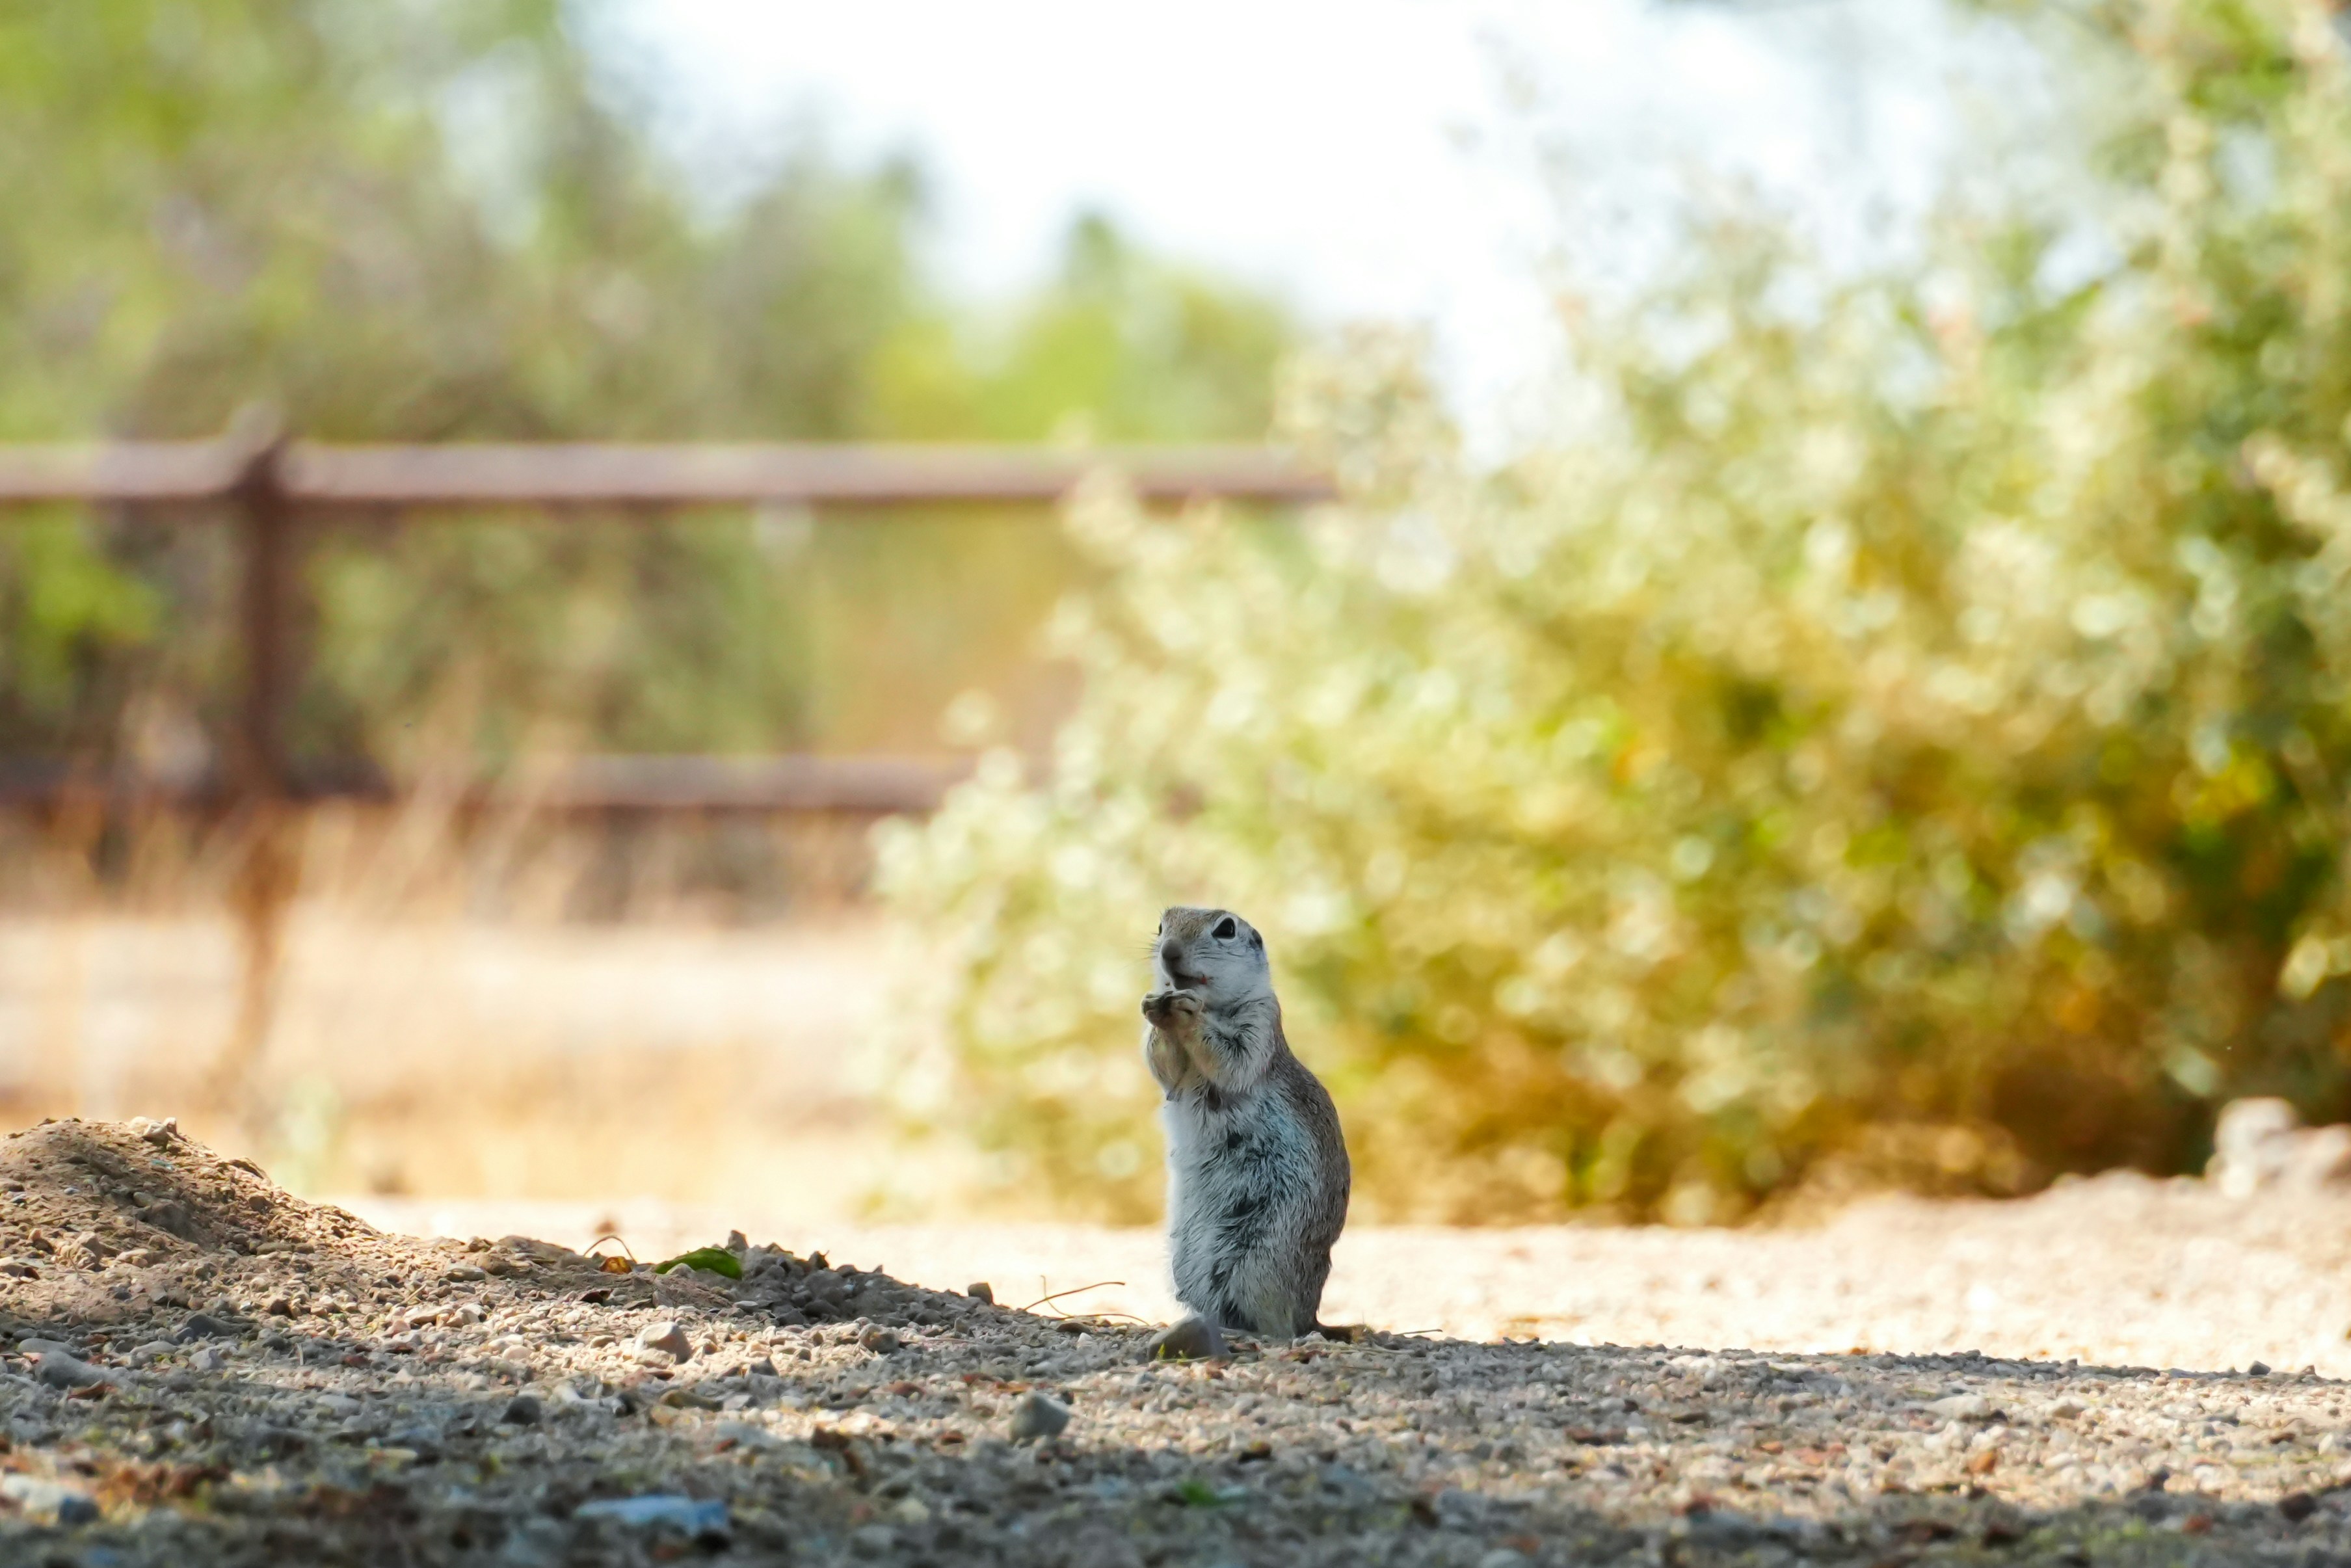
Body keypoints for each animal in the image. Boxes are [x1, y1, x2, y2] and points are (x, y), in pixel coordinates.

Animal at [1140, 906, 1350, 1352]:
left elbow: (1232, 1060)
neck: (1216, 1004)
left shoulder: (1262, 1021)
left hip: (1257, 1258)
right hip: (1190, 1264)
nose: (1168, 951)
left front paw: (1187, 1013)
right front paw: (1154, 1007)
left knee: (1281, 1325)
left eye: (1226, 929)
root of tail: (1313, 1314)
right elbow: (1164, 1067)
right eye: (1162, 925)